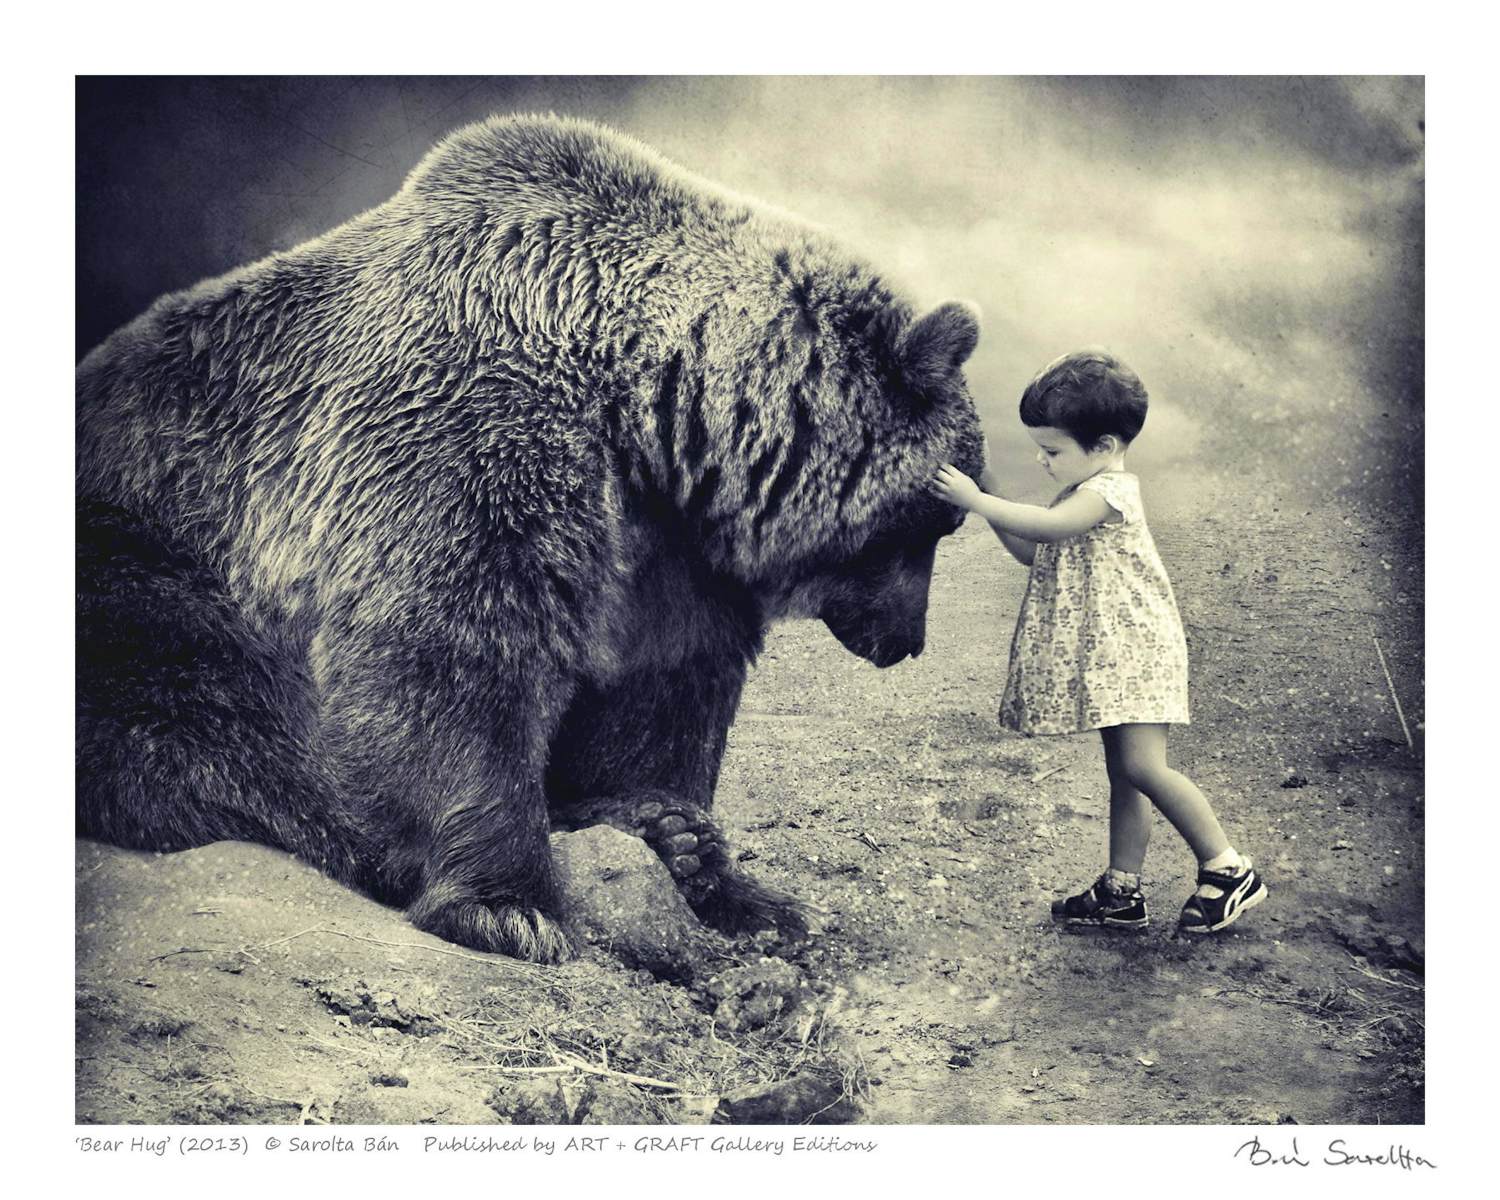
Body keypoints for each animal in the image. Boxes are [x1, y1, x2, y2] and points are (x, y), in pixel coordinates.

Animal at [76, 113, 985, 963]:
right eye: (939, 520)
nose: (905, 640)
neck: (645, 407)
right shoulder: (465, 428)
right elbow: (455, 652)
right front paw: (512, 906)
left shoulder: (668, 549)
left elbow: (664, 693)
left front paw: (713, 867)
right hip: (153, 552)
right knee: (213, 715)